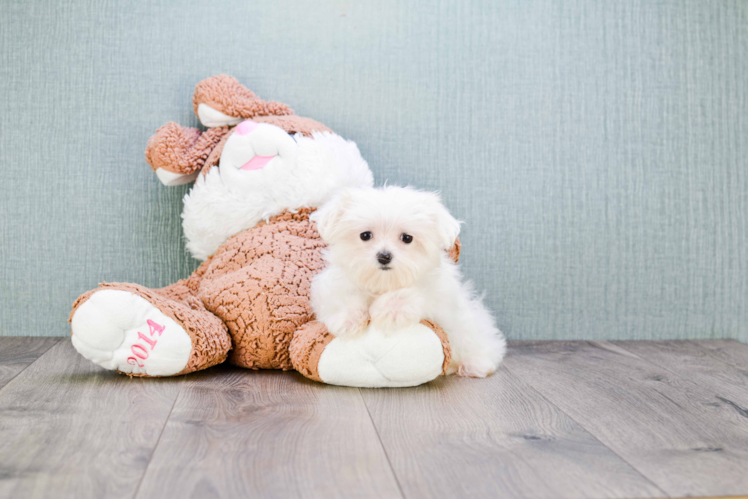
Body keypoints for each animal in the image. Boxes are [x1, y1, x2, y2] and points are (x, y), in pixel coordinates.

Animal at [310, 186, 508, 376]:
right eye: (365, 235)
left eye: (407, 238)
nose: (384, 256)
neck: (382, 283)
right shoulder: (335, 282)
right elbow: (341, 295)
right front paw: (348, 319)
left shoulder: (439, 297)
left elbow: (416, 293)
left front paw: (389, 310)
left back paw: (475, 365)